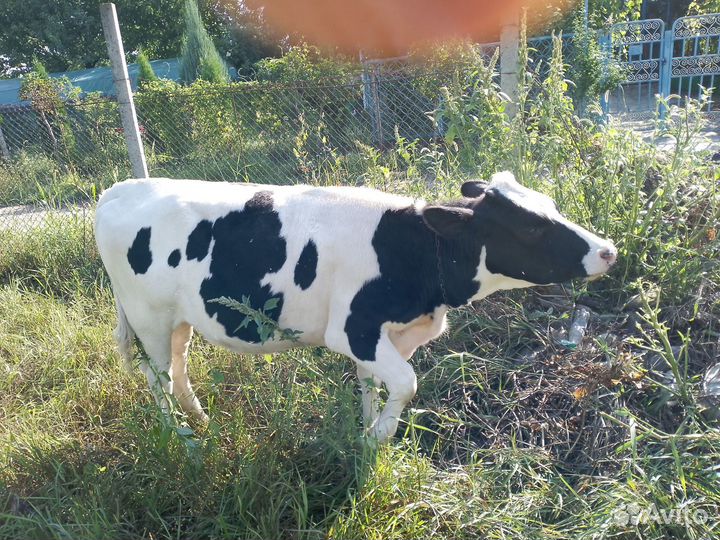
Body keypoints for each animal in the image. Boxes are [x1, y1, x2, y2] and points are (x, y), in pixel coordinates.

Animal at [95, 171, 617, 442]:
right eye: (530, 226)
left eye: (550, 204)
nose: (608, 249)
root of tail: (119, 188)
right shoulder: (353, 329)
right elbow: (405, 383)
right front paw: (377, 436)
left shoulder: (391, 333)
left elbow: (373, 384)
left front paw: (366, 431)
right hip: (148, 318)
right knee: (158, 378)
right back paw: (181, 438)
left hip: (179, 318)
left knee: (179, 367)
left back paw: (201, 420)